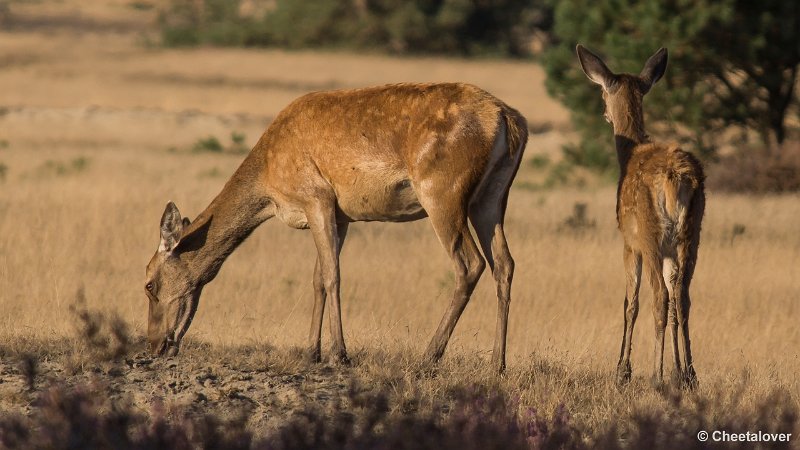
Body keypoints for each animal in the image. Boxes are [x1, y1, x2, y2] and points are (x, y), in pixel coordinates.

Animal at [146, 82, 528, 370]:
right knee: (504, 263)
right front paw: (311, 352)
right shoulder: (340, 215)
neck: (268, 181)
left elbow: (332, 275)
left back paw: (428, 357)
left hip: (442, 194)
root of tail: (509, 120)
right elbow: (318, 278)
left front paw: (340, 354)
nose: (155, 344)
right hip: (492, 198)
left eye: (149, 283)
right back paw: (497, 364)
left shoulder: (316, 197)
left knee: (470, 264)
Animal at [576, 44, 708, 386]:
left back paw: (657, 377)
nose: (605, 113)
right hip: (691, 234)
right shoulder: (670, 249)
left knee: (659, 296)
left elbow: (630, 302)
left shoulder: (628, 242)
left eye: (603, 93)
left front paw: (622, 370)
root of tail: (676, 176)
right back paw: (690, 375)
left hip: (650, 234)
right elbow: (675, 299)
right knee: (682, 296)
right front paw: (678, 371)